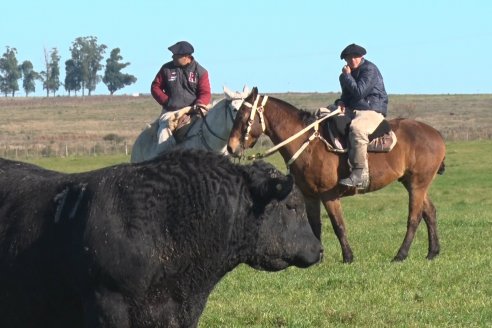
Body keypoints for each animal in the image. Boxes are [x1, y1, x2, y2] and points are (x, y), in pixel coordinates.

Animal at [227, 86, 446, 262]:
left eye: (244, 116)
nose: (231, 147)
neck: (308, 144)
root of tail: (437, 135)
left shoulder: (329, 195)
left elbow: (338, 225)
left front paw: (348, 257)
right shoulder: (310, 195)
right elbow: (315, 225)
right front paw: (317, 257)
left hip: (417, 184)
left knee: (414, 218)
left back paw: (401, 255)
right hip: (413, 183)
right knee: (430, 212)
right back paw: (432, 252)